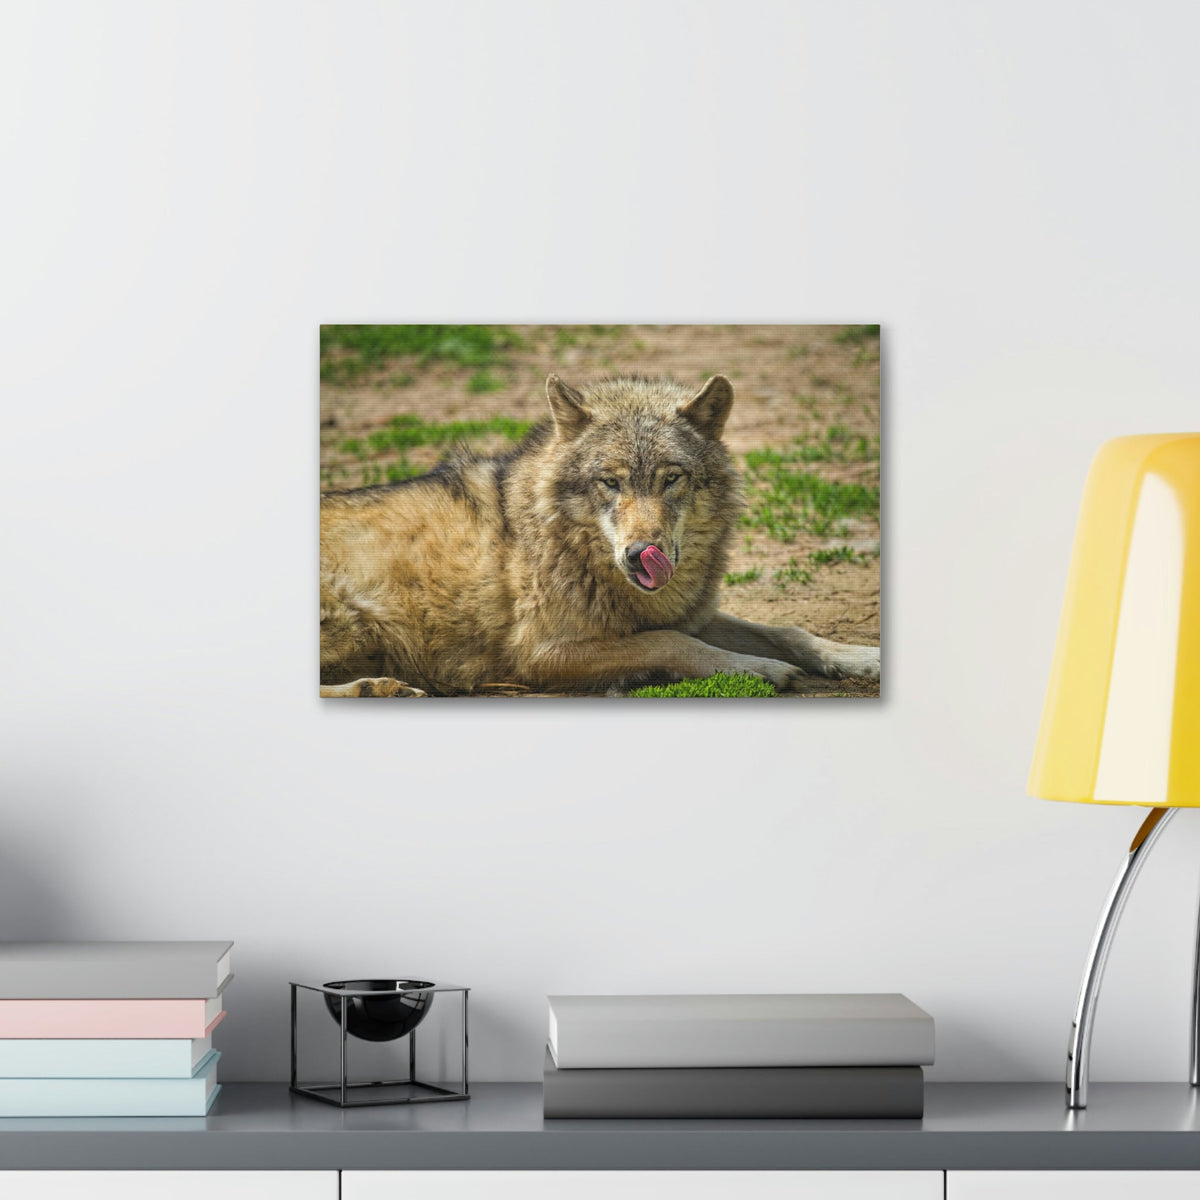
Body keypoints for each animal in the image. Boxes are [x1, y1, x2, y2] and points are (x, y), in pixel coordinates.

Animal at [320, 373, 880, 696]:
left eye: (671, 478)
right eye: (610, 482)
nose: (640, 555)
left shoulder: (690, 614)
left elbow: (789, 632)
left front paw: (860, 658)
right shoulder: (538, 654)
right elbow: (669, 642)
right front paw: (755, 668)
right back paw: (378, 689)